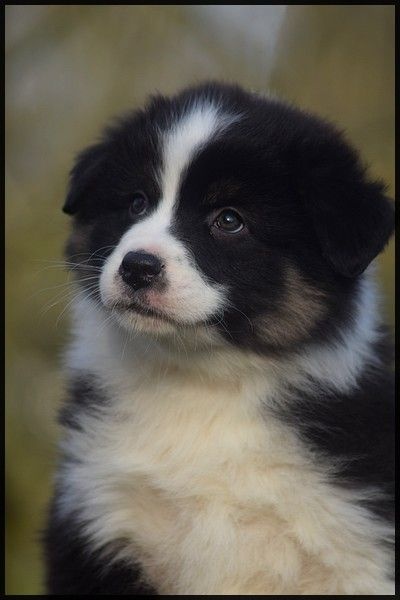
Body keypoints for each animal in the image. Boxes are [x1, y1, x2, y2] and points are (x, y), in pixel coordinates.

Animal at [44, 82, 394, 595]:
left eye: (229, 220)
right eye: (136, 202)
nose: (137, 267)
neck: (202, 382)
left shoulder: (359, 552)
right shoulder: (100, 518)